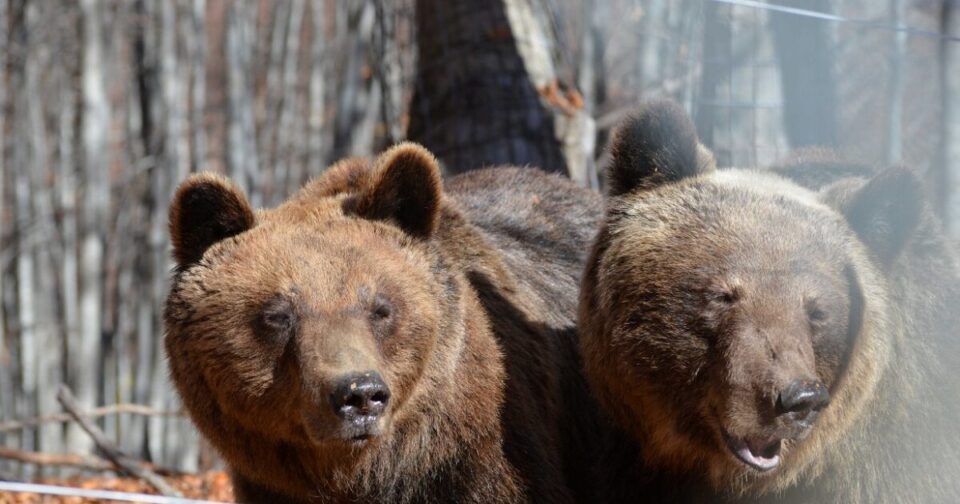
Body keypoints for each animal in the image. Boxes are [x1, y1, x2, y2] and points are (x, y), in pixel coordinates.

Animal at [162, 143, 604, 504]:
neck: (377, 470)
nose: (359, 394)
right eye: (278, 314)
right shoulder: (272, 487)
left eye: (380, 307)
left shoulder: (487, 462)